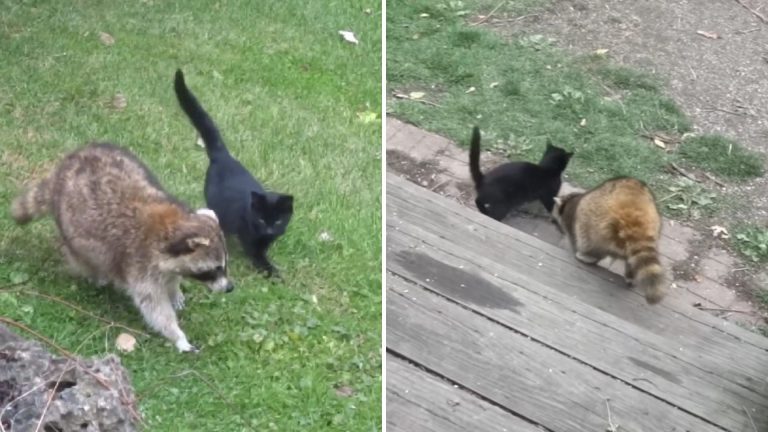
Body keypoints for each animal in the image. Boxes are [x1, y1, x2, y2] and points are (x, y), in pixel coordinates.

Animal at [10, 143, 232, 352]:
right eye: (214, 269)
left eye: (224, 265)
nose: (230, 288)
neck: (172, 227)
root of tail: (60, 172)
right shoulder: (140, 265)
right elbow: (154, 307)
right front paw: (177, 335)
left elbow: (171, 279)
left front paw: (174, 289)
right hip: (69, 229)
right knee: (83, 259)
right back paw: (95, 274)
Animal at [175, 69, 294, 276]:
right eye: (261, 219)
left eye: (278, 221)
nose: (270, 231)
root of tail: (224, 156)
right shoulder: (251, 241)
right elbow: (259, 258)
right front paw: (274, 274)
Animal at [552, 176, 664, 304]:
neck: (571, 199)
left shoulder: (570, 220)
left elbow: (573, 238)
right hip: (656, 223)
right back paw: (631, 275)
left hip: (593, 222)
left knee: (588, 242)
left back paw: (586, 256)